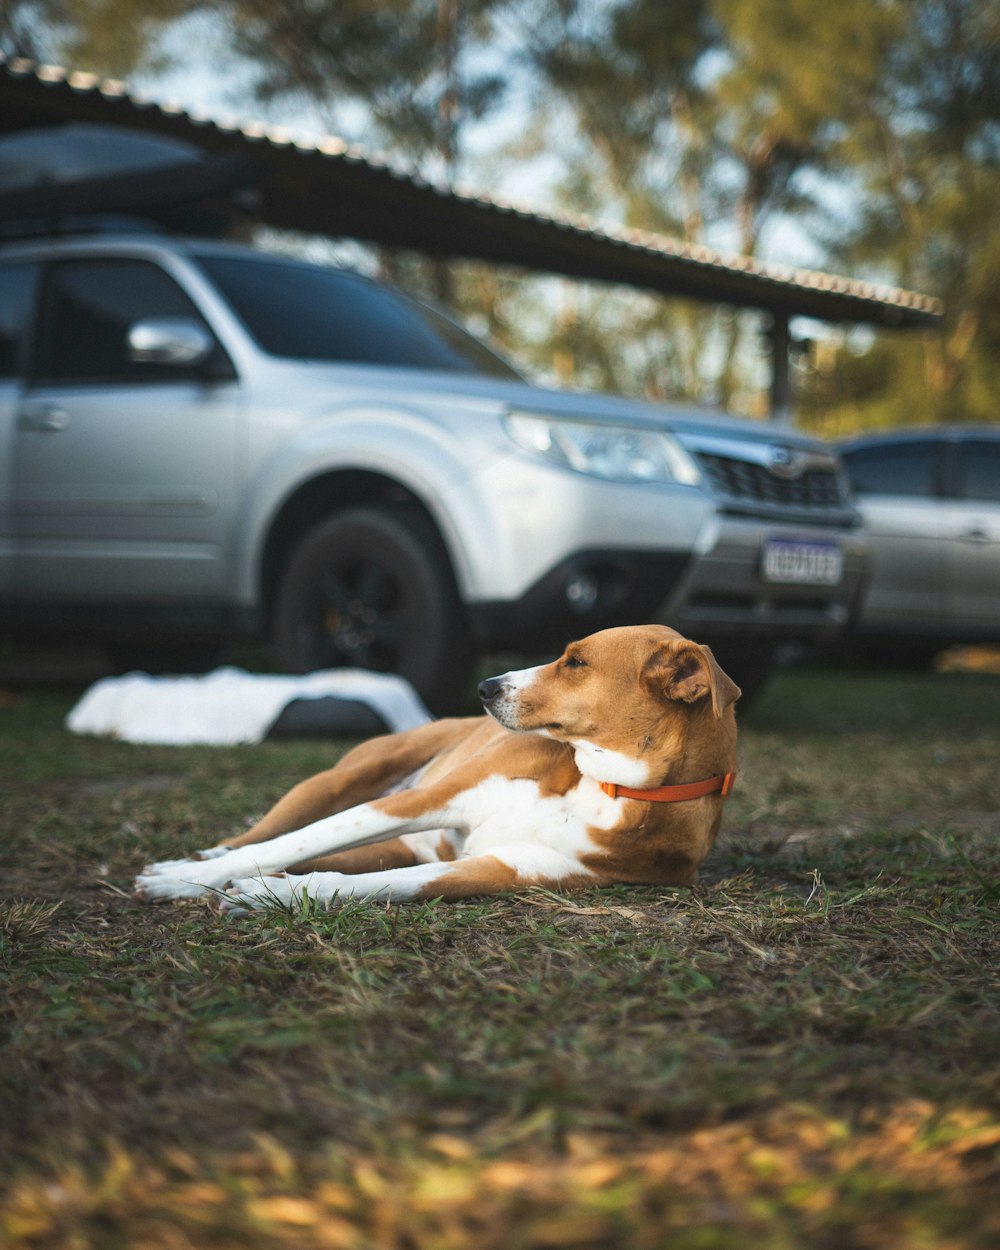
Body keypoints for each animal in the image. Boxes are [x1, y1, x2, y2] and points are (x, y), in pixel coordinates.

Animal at [136, 622, 740, 910]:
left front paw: (269, 894)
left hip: (391, 846)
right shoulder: (424, 799)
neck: (610, 788)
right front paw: (180, 879)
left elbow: (384, 885)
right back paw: (205, 859)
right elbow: (288, 844)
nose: (486, 687)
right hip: (337, 783)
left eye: (576, 663)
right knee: (265, 836)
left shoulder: (504, 869)